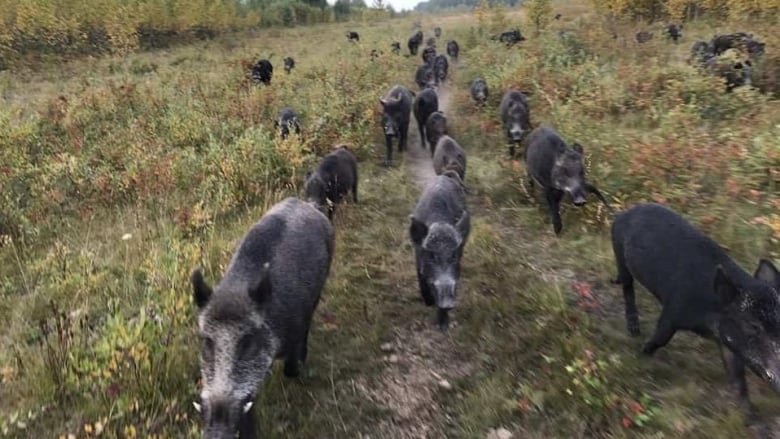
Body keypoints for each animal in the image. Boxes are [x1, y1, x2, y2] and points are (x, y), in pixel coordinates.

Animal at [193, 199, 336, 439]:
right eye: (207, 342)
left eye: (248, 341)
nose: (218, 431)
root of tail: (308, 205)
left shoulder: (295, 327)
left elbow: (291, 367)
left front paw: (298, 368)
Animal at [408, 172, 470, 330]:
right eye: (431, 255)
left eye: (454, 255)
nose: (448, 303)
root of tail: (444, 176)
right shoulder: (417, 257)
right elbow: (421, 279)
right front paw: (428, 303)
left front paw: (443, 327)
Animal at [612, 203, 776, 412]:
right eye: (752, 325)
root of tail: (623, 213)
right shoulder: (673, 310)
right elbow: (661, 338)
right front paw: (642, 354)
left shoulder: (727, 342)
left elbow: (737, 375)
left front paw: (748, 413)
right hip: (619, 254)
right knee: (628, 287)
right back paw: (634, 330)